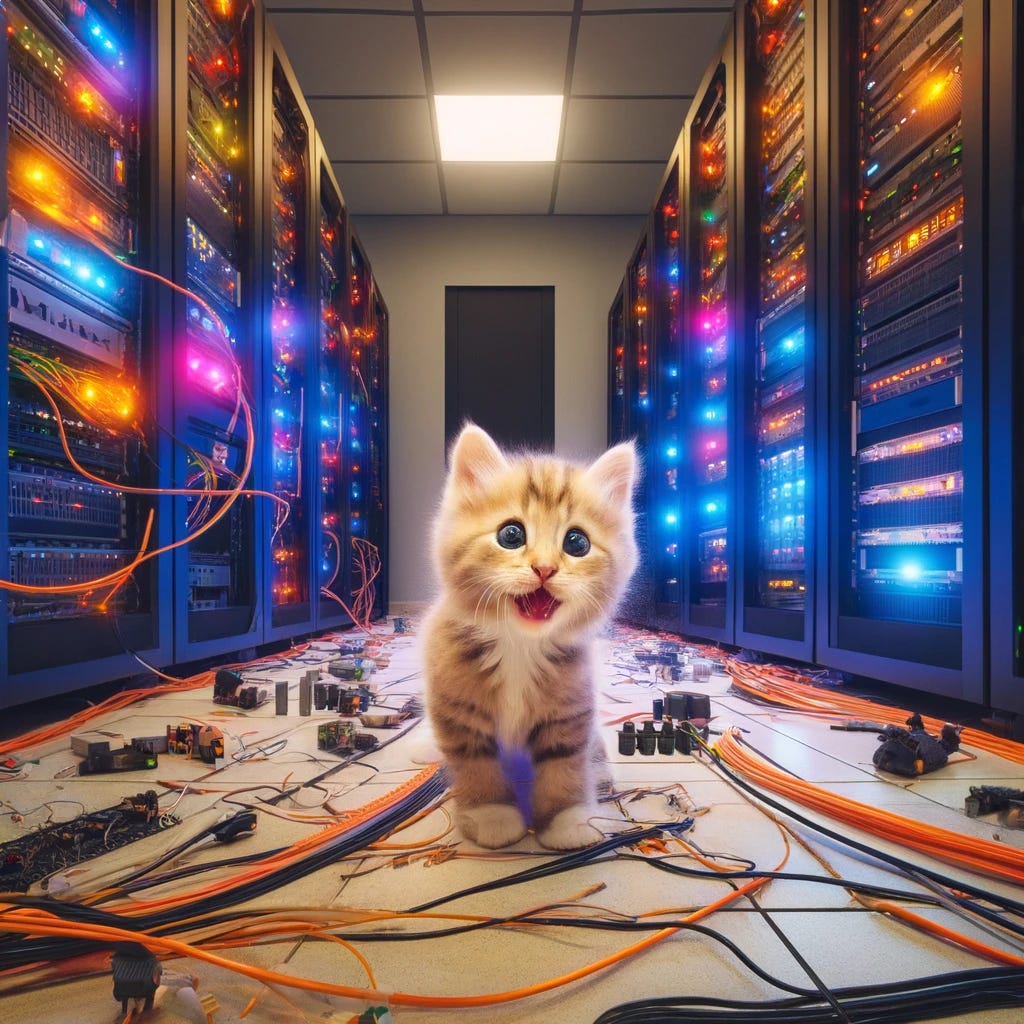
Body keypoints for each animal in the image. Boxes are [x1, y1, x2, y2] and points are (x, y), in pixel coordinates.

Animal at [419, 423, 634, 847]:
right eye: (511, 535)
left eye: (577, 542)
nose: (545, 568)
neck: (520, 647)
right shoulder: (458, 712)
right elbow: (477, 767)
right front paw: (490, 815)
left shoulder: (571, 711)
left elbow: (565, 767)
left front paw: (567, 821)